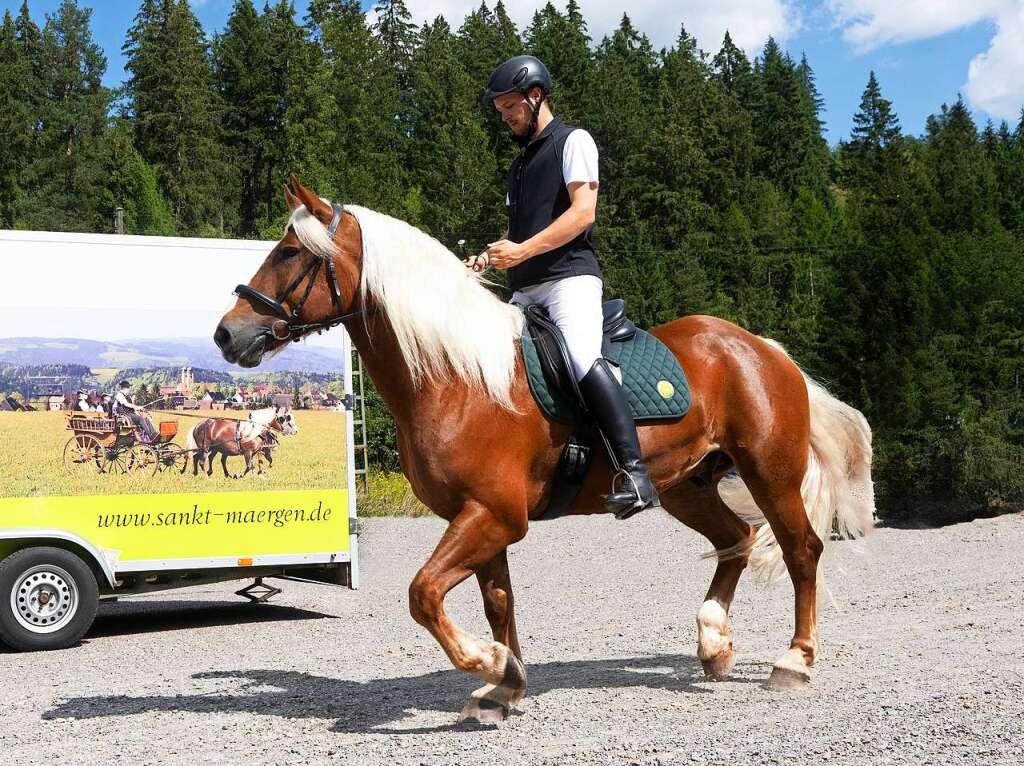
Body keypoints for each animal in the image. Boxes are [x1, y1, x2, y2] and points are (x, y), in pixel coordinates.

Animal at [214, 178, 872, 725]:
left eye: (290, 252)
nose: (227, 332)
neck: (456, 377)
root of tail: (762, 347)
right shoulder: (479, 516)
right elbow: (496, 601)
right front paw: (504, 684)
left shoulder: (494, 515)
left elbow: (423, 594)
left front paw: (486, 663)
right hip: (687, 485)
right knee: (736, 538)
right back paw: (714, 643)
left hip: (770, 474)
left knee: (801, 550)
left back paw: (794, 661)